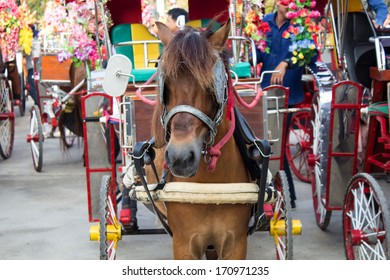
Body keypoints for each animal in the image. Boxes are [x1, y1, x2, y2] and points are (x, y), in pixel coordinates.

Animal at [145, 20, 253, 260]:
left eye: (211, 87)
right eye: (166, 87)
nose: (180, 157)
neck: (210, 188)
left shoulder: (236, 244)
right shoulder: (184, 245)